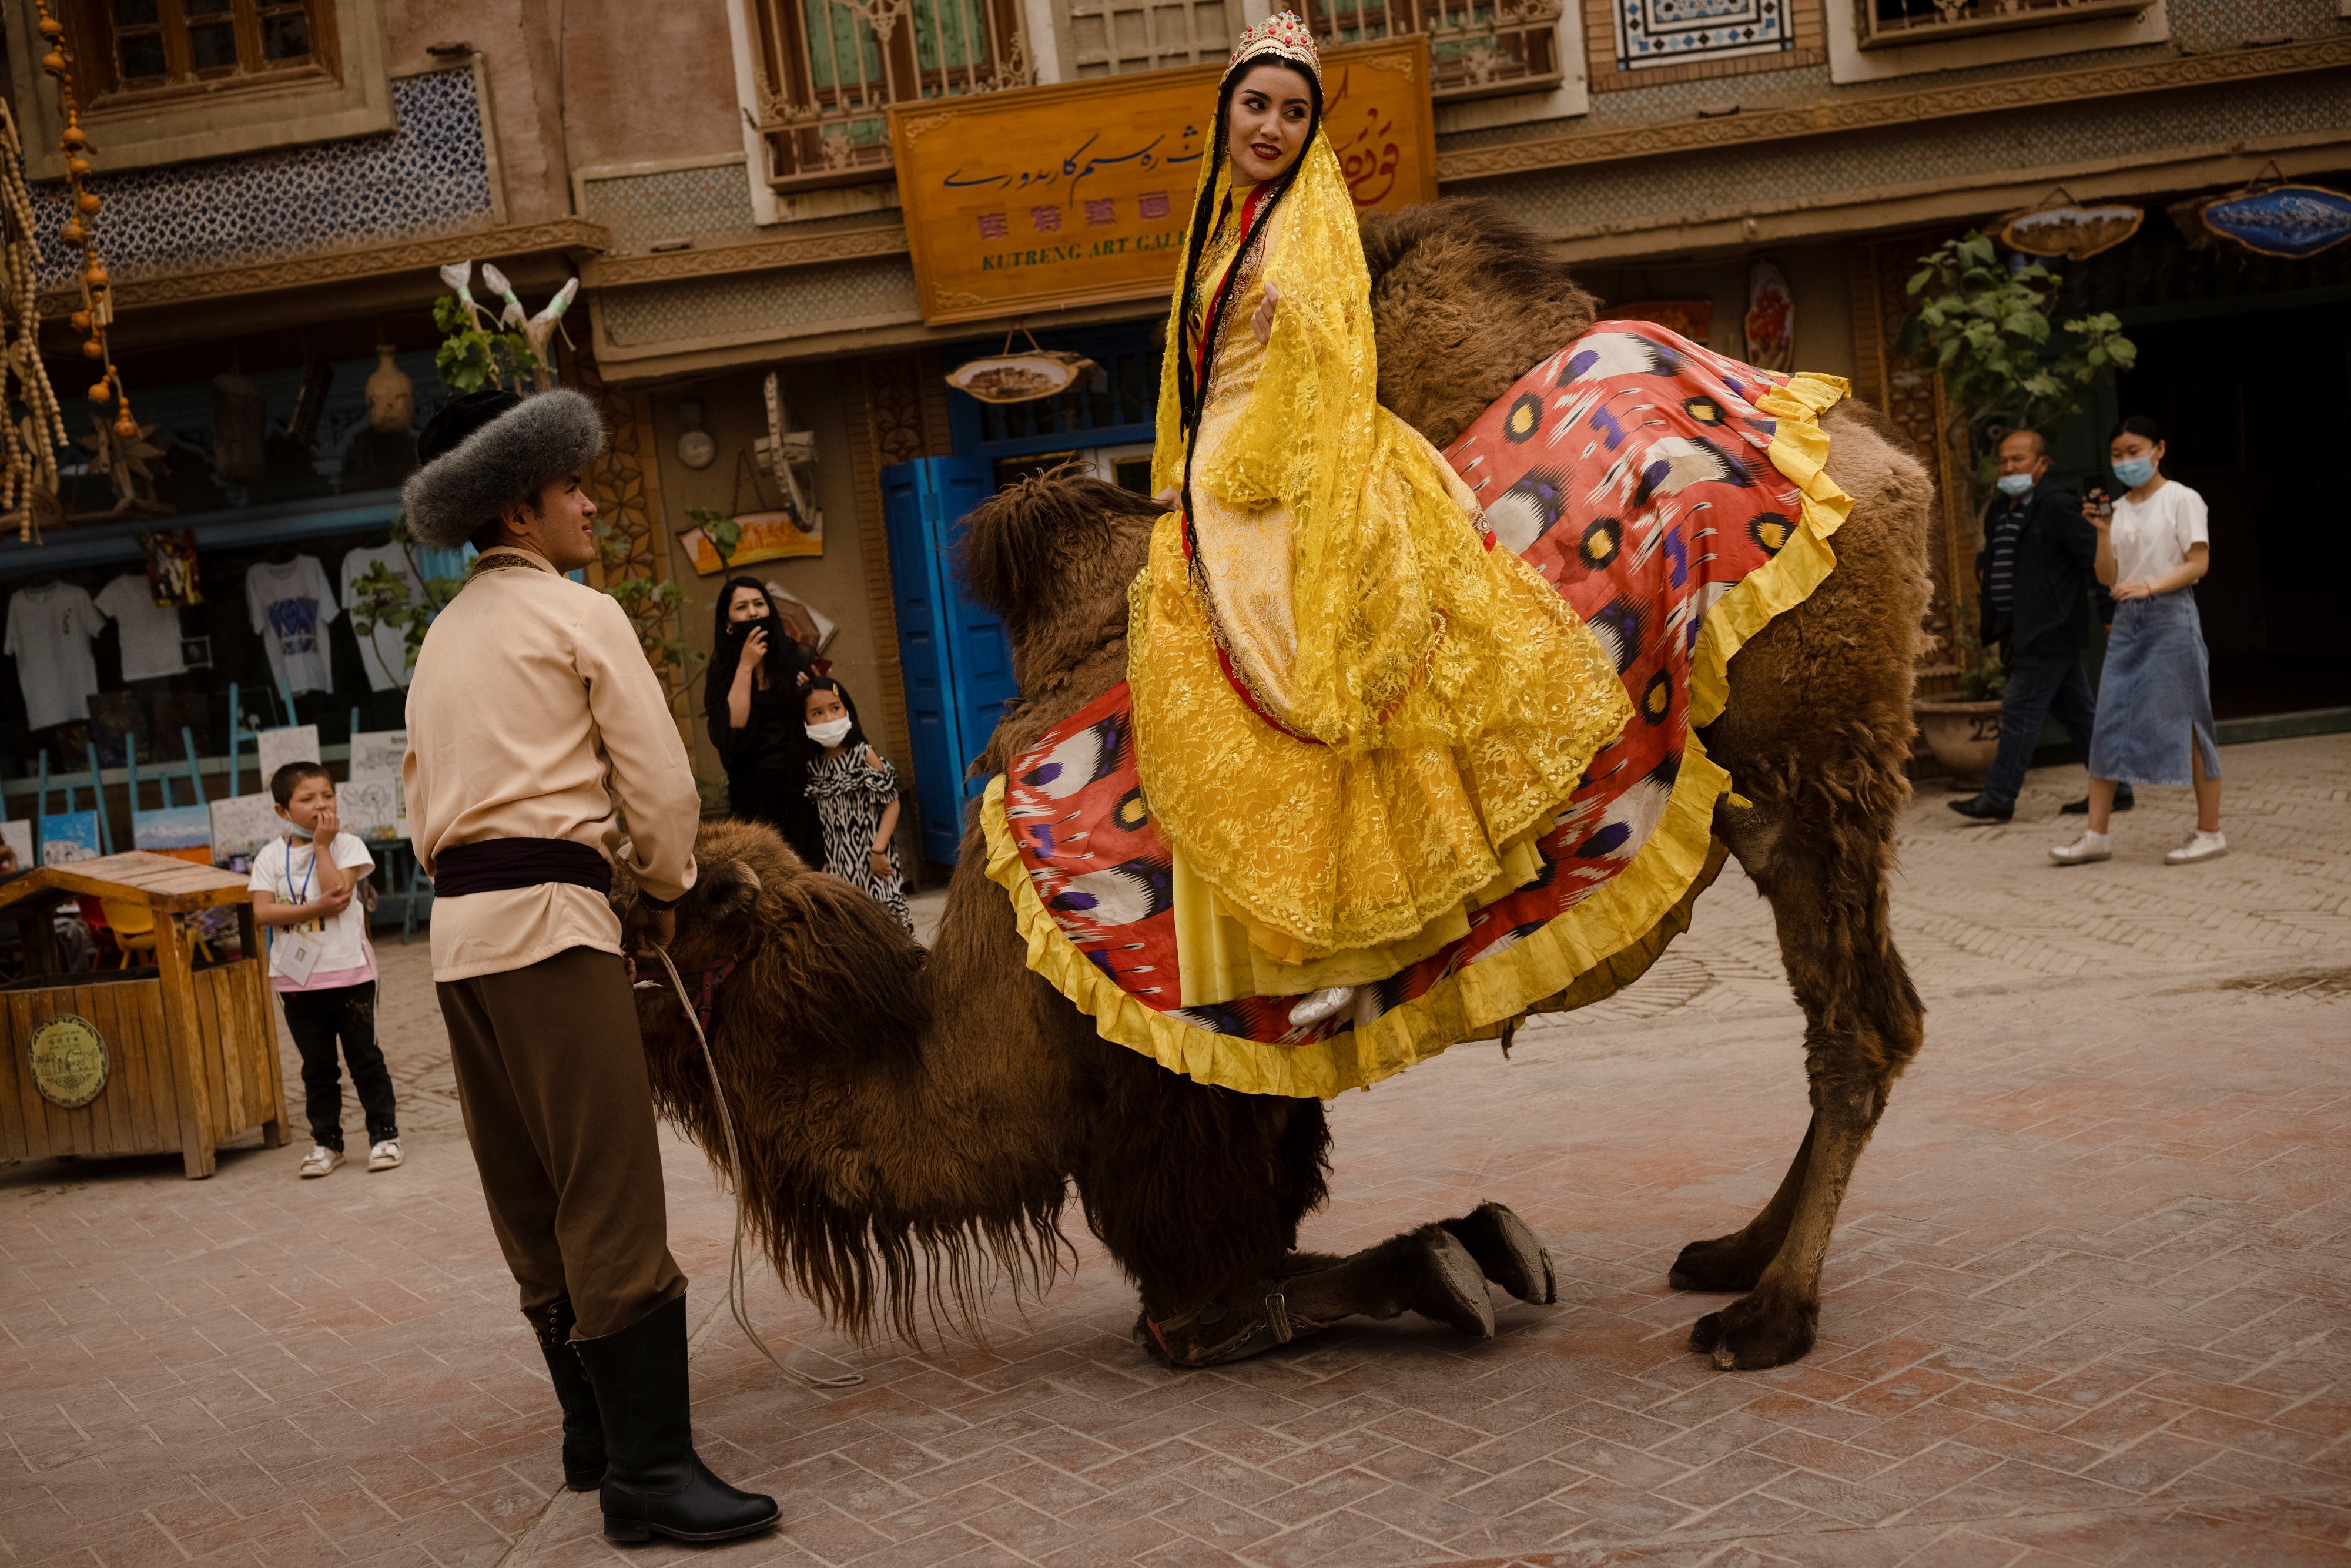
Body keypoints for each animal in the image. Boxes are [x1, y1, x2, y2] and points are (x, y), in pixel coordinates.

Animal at [625, 200, 1928, 1373]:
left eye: (659, 925)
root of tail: (1882, 458)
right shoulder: (1233, 1085)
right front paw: (1472, 1245)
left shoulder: (1156, 1082)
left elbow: (1197, 1314)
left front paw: (1440, 1261)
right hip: (1764, 788)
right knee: (1868, 1007)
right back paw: (1737, 1250)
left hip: (1813, 752)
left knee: (1860, 1022)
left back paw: (1769, 1312)